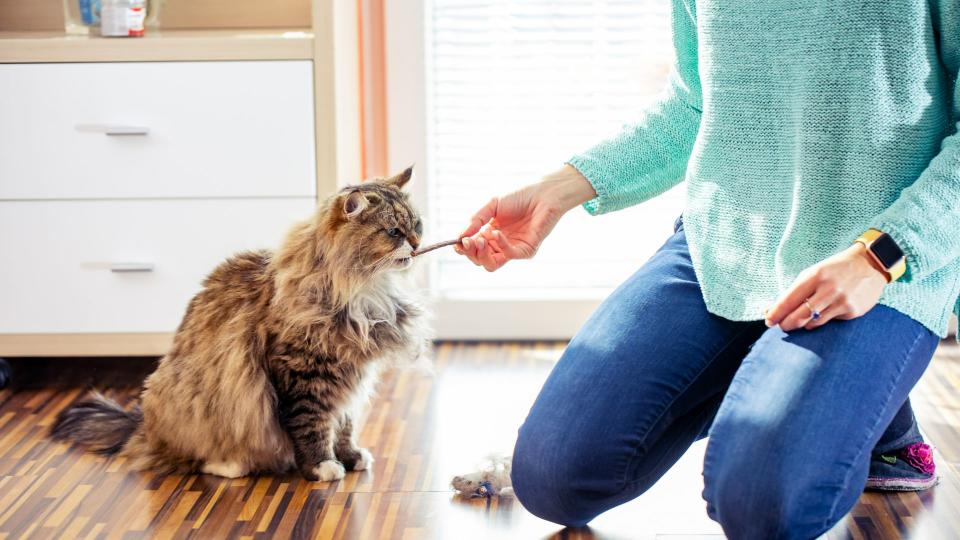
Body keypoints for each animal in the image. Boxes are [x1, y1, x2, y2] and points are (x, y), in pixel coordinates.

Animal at [49, 169, 432, 480]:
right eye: (393, 232)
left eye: (417, 225)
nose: (417, 244)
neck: (365, 288)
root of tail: (143, 424)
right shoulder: (303, 374)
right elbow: (312, 426)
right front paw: (322, 467)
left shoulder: (352, 373)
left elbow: (344, 424)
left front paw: (350, 457)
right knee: (187, 459)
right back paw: (230, 465)